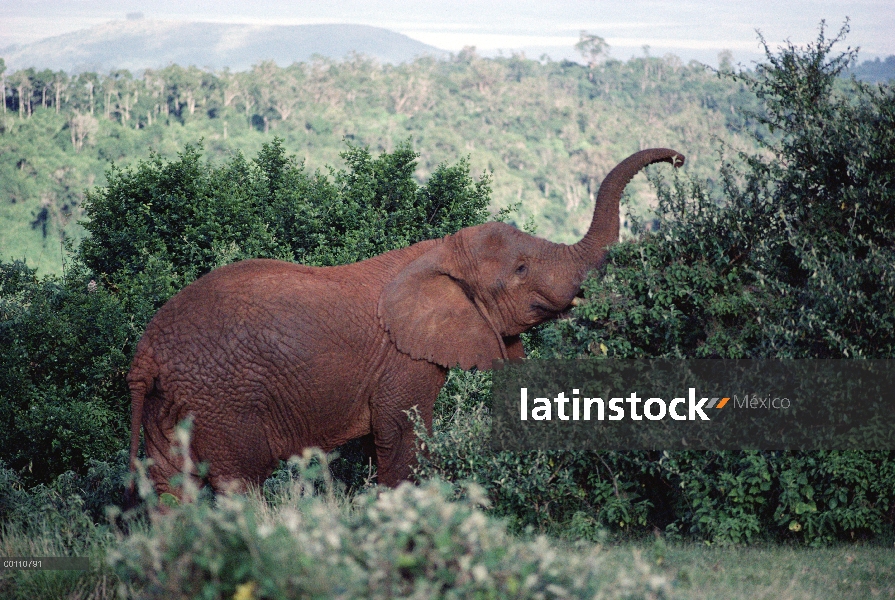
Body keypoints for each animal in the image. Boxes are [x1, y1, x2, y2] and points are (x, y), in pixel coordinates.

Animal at [126, 146, 684, 496]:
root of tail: (146, 354)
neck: (440, 251)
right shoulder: (402, 360)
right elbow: (402, 438)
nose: (679, 160)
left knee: (169, 489)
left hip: (169, 403)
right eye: (521, 271)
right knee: (237, 484)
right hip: (222, 401)